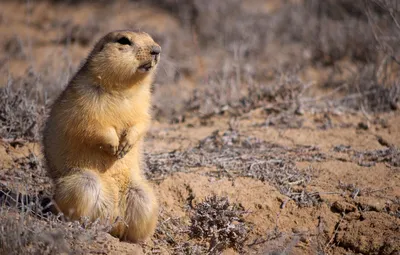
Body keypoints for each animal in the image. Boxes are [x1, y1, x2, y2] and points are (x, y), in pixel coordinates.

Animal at [43, 29, 161, 243]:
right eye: (124, 40)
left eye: (150, 36)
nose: (157, 50)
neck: (125, 89)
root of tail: (113, 219)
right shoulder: (84, 100)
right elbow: (91, 124)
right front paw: (114, 145)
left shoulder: (144, 103)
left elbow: (142, 122)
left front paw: (126, 145)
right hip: (83, 183)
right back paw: (79, 225)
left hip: (143, 197)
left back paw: (140, 240)